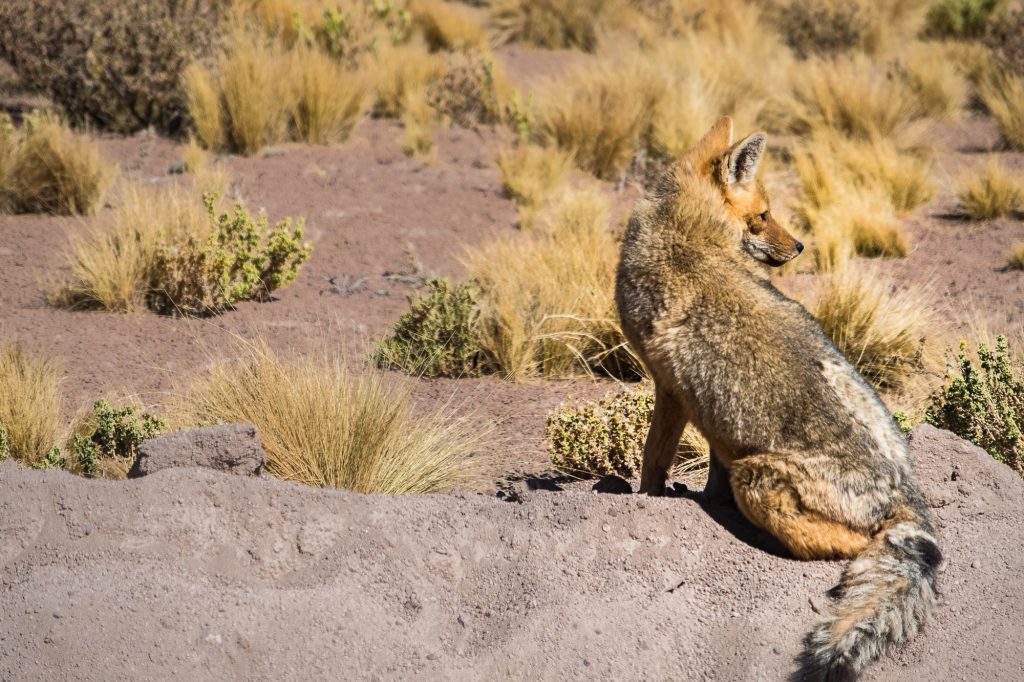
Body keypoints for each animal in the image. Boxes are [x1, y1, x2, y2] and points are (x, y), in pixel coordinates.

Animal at [614, 114, 942, 675]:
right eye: (764, 215)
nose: (800, 247)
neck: (688, 225)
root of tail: (906, 493)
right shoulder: (702, 411)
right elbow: (704, 468)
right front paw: (700, 496)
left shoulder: (669, 388)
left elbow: (653, 461)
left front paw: (649, 499)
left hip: (757, 479)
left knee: (855, 544)